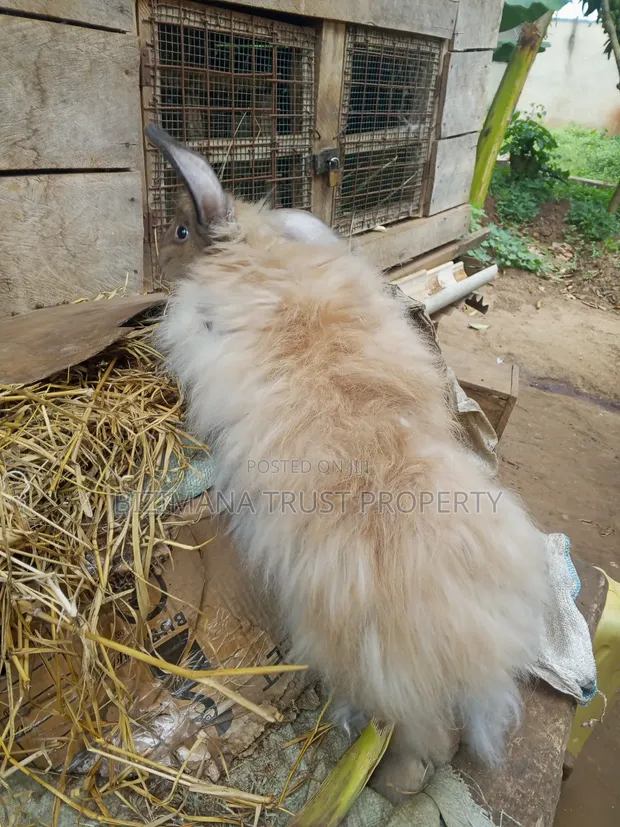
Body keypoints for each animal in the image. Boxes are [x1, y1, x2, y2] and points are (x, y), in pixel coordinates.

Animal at [145, 124, 549, 801]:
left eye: (179, 231)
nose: (157, 272)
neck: (247, 247)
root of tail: (470, 652)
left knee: (419, 741)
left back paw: (388, 777)